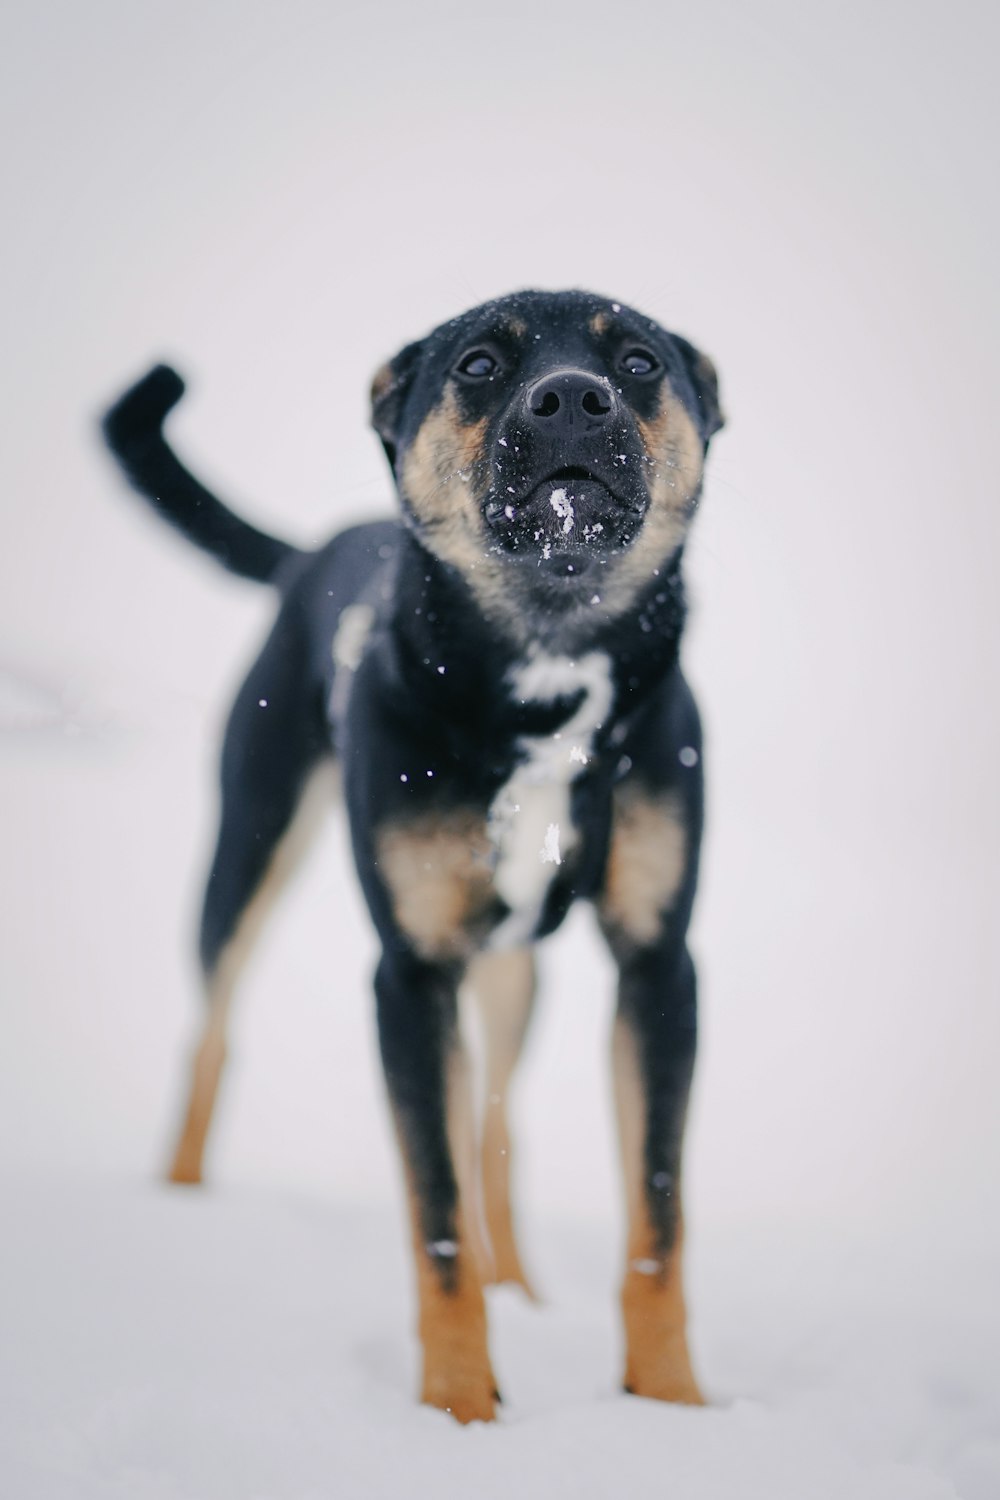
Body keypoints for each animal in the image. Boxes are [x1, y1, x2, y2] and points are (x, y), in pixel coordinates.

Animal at [101, 286, 722, 1422]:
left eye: (641, 362)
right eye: (478, 363)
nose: (574, 397)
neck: (547, 675)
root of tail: (315, 549)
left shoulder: (660, 966)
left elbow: (657, 1223)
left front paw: (669, 1408)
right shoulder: (411, 975)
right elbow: (434, 1219)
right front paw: (461, 1413)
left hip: (511, 964)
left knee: (494, 1123)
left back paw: (518, 1281)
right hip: (249, 853)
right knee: (212, 1034)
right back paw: (182, 1203)